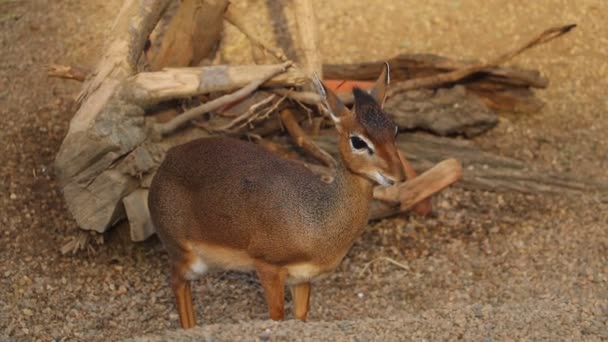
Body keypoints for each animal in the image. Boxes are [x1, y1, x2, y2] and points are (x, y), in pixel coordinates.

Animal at [147, 64, 404, 328]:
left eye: (394, 130)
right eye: (358, 140)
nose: (397, 175)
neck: (316, 219)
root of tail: (167, 160)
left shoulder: (302, 279)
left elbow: (300, 316)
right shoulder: (268, 267)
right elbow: (277, 316)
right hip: (186, 256)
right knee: (177, 282)